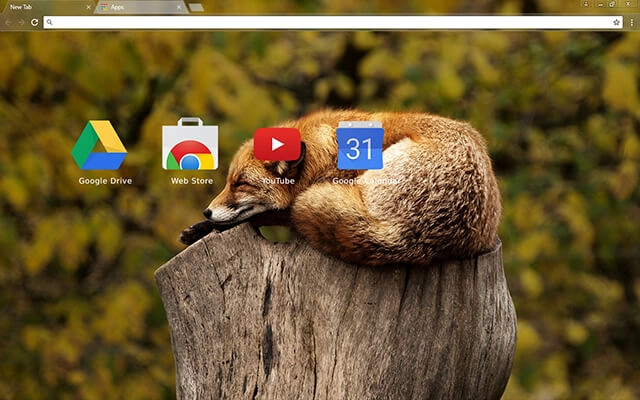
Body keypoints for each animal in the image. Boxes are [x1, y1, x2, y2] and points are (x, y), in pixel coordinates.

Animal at [180, 109, 501, 266]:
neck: (326, 154)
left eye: (241, 184)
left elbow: (269, 214)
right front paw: (199, 228)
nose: (207, 211)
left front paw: (204, 228)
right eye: (228, 182)